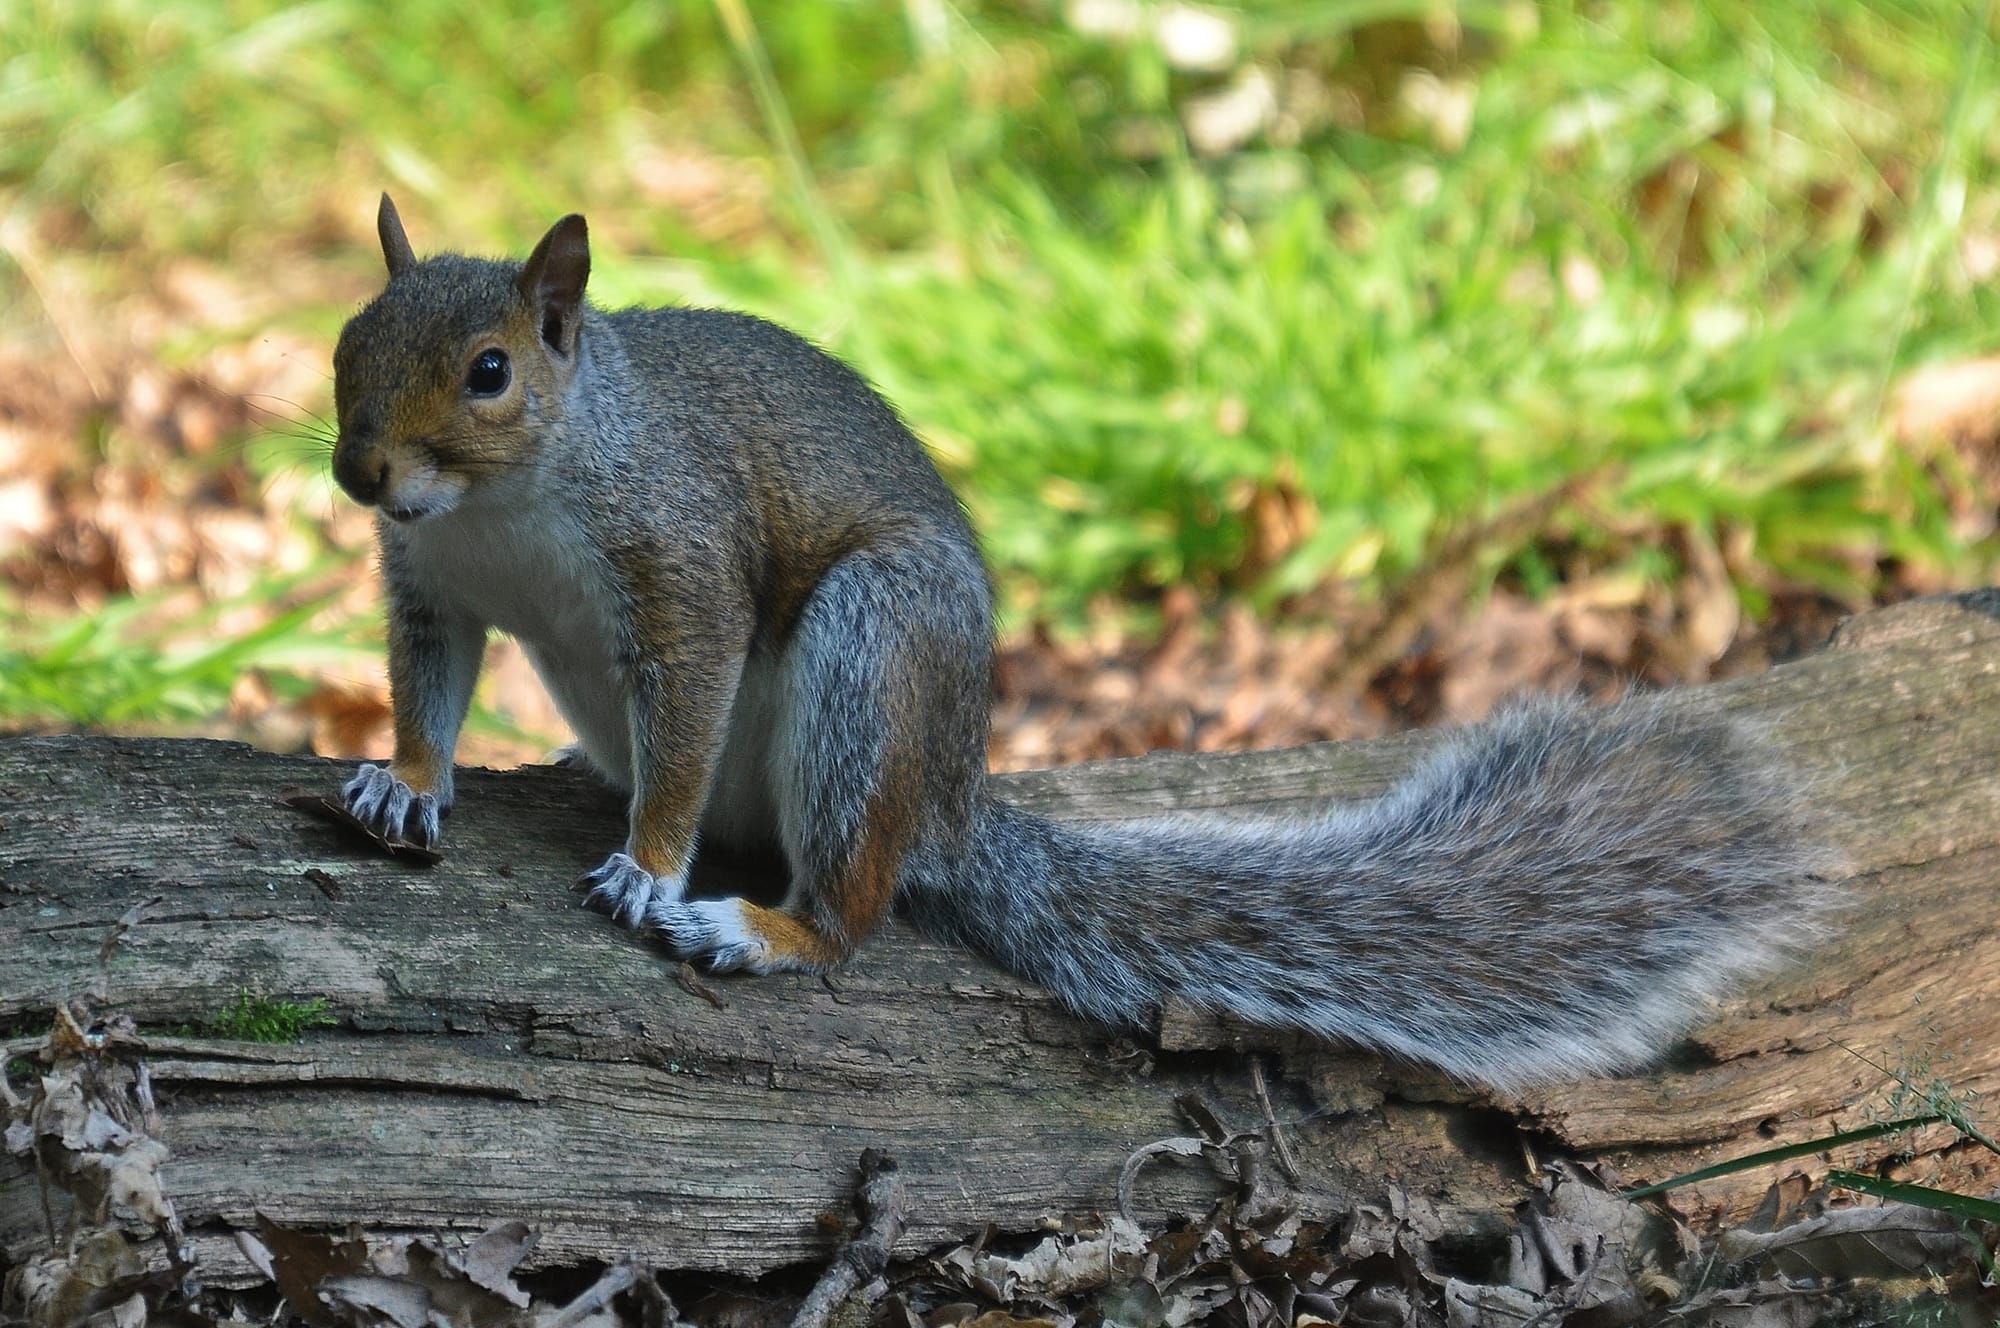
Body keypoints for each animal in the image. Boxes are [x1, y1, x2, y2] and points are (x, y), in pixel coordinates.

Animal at [332, 197, 1840, 1088]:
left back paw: (765, 929)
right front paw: (405, 779)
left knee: (854, 900)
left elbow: (688, 721)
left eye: (490, 371)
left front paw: (647, 867)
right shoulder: (434, 587)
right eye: (349, 342)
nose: (358, 473)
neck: (502, 507)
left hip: (878, 650)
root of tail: (949, 803)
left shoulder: (679, 562)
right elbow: (428, 686)